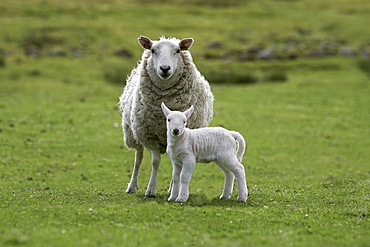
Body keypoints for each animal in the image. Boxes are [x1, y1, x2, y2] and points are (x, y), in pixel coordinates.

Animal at [118, 35, 214, 197]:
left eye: (178, 50)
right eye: (152, 50)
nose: (164, 69)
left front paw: (174, 189)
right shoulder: (150, 137)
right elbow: (155, 163)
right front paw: (150, 190)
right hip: (134, 133)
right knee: (138, 159)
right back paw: (132, 186)